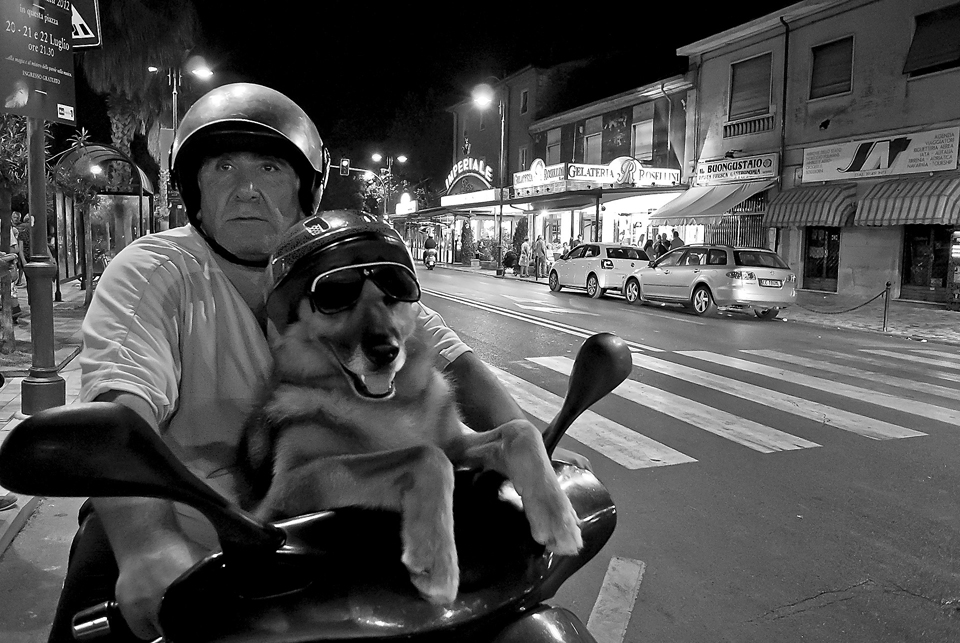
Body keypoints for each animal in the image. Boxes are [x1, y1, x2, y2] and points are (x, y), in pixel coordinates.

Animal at [240, 235, 584, 604]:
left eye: (395, 290)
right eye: (337, 293)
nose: (385, 352)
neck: (392, 403)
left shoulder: (456, 445)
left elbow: (521, 431)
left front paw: (558, 517)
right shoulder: (288, 486)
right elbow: (424, 456)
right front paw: (436, 560)